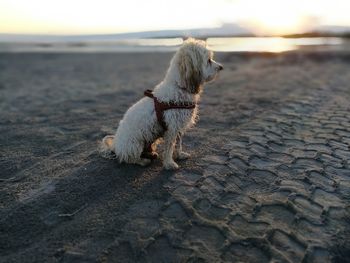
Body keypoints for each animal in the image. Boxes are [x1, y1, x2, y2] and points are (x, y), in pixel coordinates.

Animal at [100, 38, 223, 171]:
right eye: (209, 60)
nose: (221, 67)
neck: (179, 86)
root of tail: (115, 146)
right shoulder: (171, 128)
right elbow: (169, 147)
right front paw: (169, 163)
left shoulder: (177, 126)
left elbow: (178, 143)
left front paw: (179, 155)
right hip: (134, 144)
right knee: (128, 158)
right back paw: (142, 160)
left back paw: (151, 154)